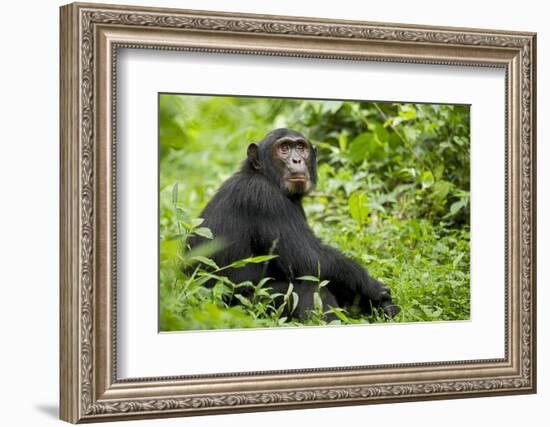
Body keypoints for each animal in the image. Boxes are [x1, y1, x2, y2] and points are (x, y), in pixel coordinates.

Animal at [190, 129, 402, 322]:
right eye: (284, 148)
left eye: (301, 147)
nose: (296, 160)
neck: (266, 177)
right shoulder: (265, 199)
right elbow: (310, 258)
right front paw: (374, 288)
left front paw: (384, 306)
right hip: (243, 308)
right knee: (310, 287)